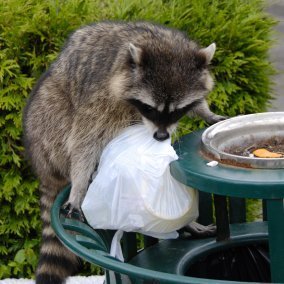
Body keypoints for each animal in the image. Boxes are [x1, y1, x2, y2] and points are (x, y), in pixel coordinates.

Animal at [22, 21, 224, 282]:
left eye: (178, 110)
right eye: (149, 108)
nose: (161, 137)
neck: (160, 43)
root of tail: (42, 167)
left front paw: (205, 111)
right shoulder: (98, 96)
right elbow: (84, 141)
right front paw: (79, 185)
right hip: (47, 122)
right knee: (65, 121)